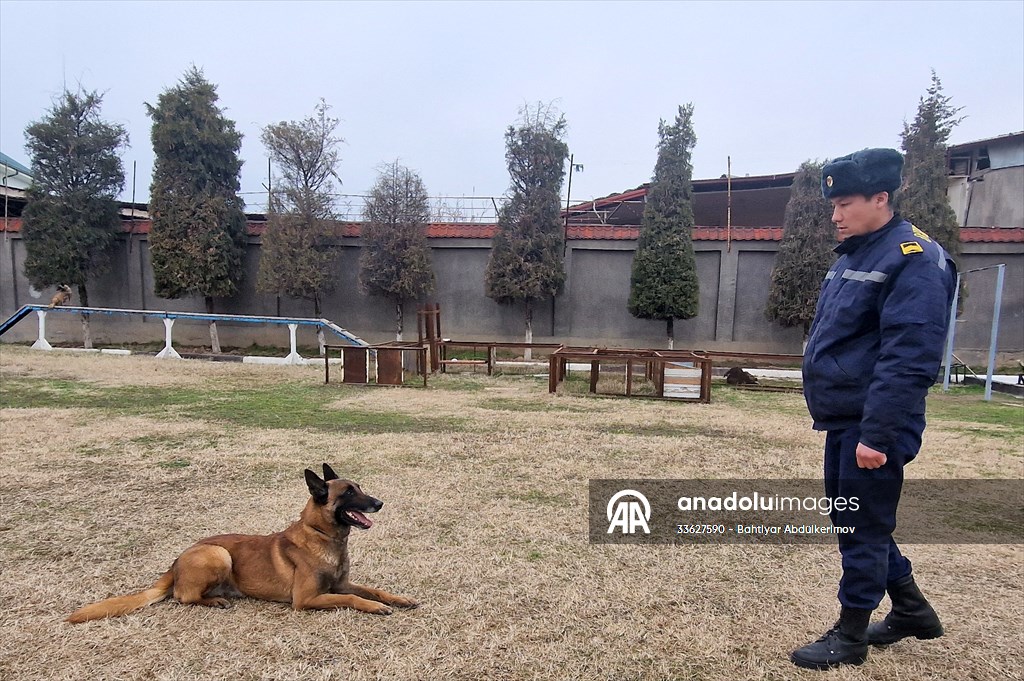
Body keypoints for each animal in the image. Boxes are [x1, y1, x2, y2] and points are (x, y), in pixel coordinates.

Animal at [67, 464, 415, 622]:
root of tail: (176, 561)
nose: (380, 503)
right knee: (182, 596)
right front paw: (375, 607)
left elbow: (373, 589)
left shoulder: (341, 585)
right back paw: (215, 601)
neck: (322, 535)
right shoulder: (307, 599)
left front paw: (397, 598)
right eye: (348, 493)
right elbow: (354, 598)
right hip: (219, 555)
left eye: (360, 487)